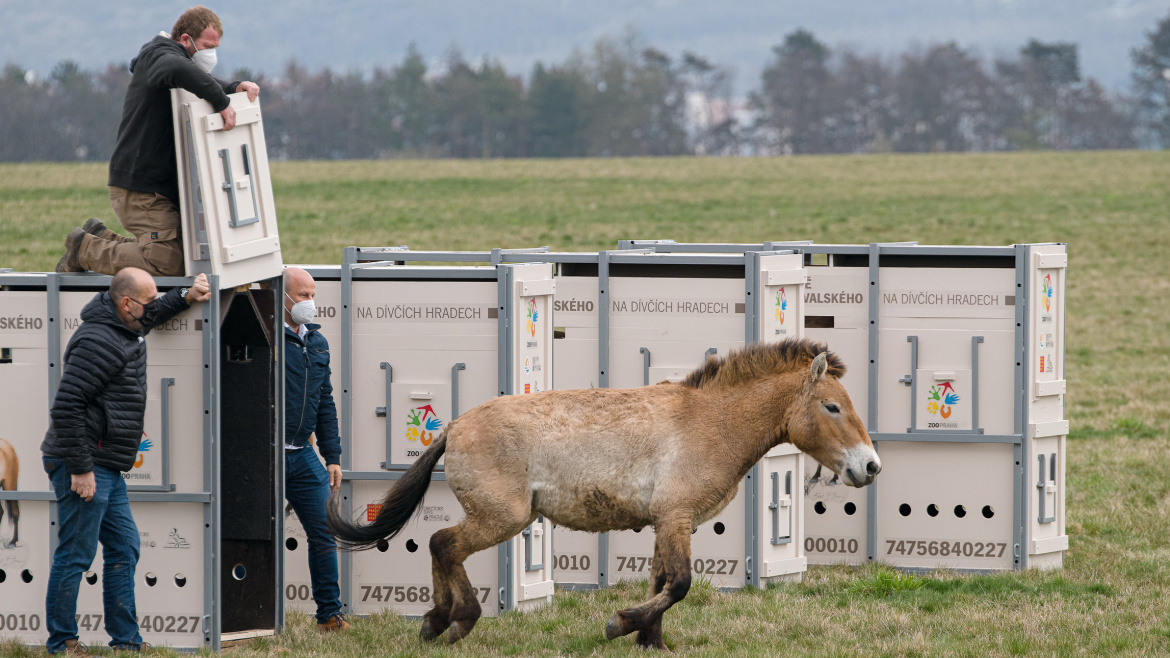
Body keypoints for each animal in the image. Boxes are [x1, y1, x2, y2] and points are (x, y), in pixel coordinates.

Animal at [329, 337, 879, 646]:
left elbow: (661, 583)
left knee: (442, 548)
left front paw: (651, 642)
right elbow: (680, 584)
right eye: (832, 407)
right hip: (501, 518)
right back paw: (455, 620)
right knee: (443, 545)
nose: (870, 466)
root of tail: (455, 427)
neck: (709, 423)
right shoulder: (677, 519)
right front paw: (621, 624)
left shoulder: (666, 524)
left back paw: (436, 621)